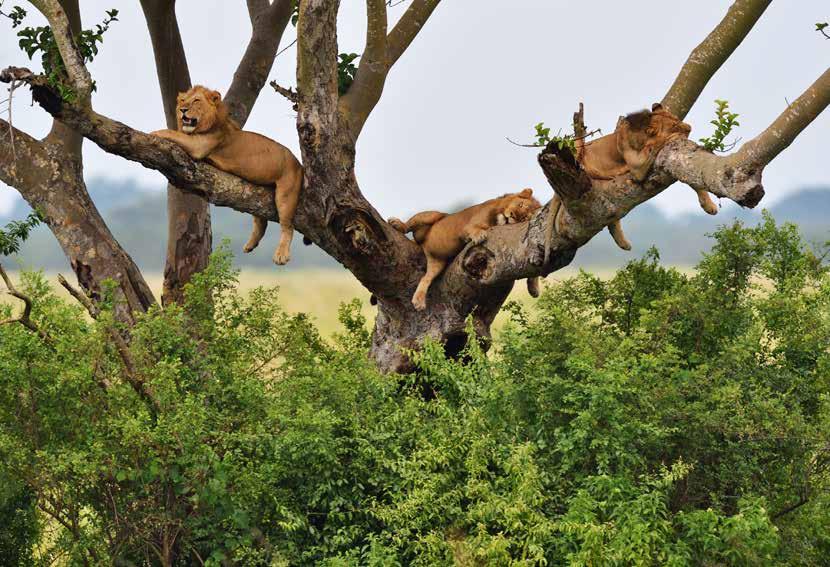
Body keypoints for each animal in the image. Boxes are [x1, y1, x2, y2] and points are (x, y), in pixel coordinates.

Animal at [151, 86, 304, 266]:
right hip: (258, 194)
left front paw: (154, 132)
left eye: (196, 100)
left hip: (286, 193)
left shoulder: (199, 145)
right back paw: (250, 244)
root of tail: (299, 164)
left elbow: (173, 133)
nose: (183, 110)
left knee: (287, 226)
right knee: (261, 221)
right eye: (183, 100)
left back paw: (281, 255)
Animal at [392, 189, 544, 310]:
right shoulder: (468, 226)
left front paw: (534, 288)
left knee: (425, 278)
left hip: (437, 263)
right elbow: (474, 229)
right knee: (409, 224)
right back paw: (397, 224)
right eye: (520, 204)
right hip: (433, 215)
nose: (511, 215)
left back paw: (418, 301)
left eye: (524, 217)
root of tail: (423, 246)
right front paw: (479, 235)